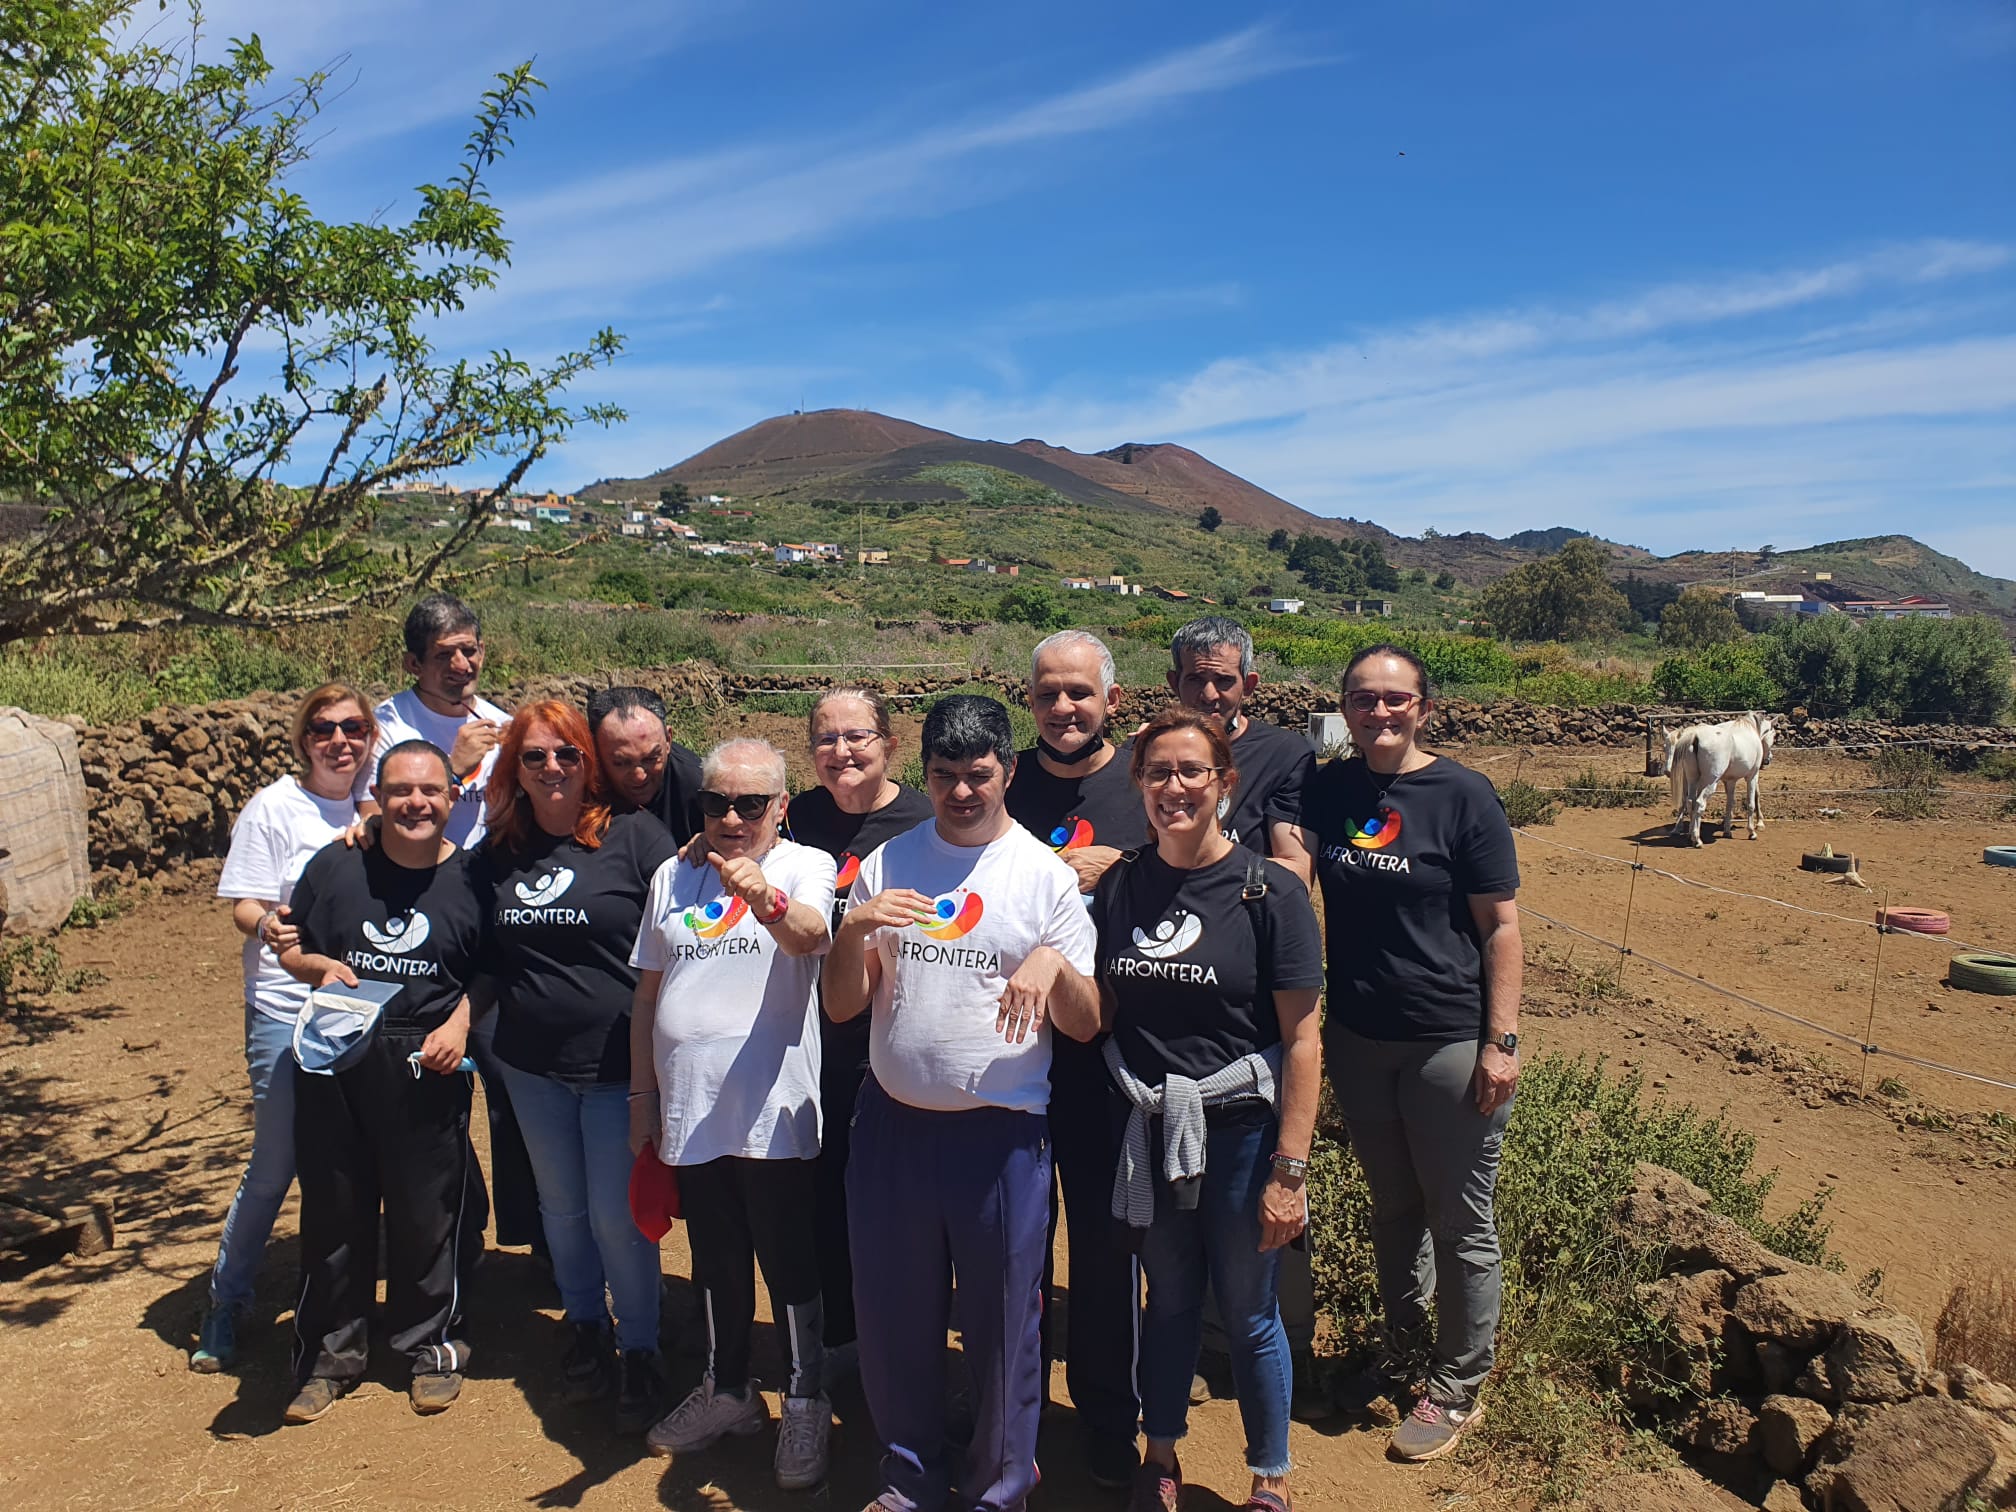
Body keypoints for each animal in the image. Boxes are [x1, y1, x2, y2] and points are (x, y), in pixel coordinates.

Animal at [1661, 713, 1774, 846]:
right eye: (1773, 737)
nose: (1768, 759)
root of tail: (1695, 736)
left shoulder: (1730, 781)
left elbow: (1730, 804)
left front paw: (1727, 831)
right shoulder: (1752, 776)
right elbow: (1751, 803)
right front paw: (1751, 832)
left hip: (1693, 780)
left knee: (1690, 802)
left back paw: (1690, 836)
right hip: (1709, 783)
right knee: (1699, 803)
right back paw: (1697, 839)